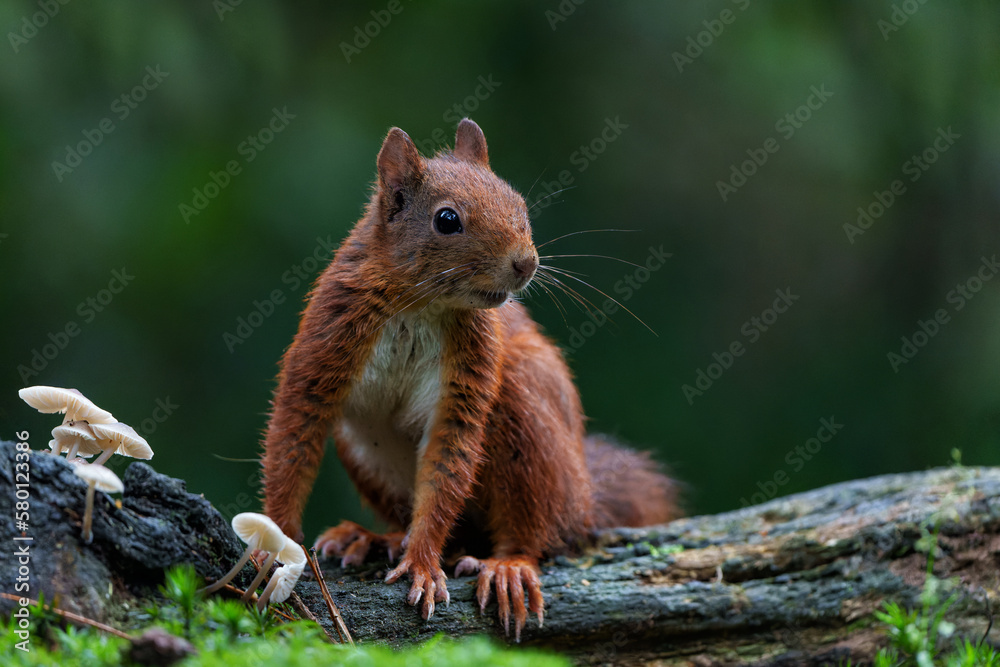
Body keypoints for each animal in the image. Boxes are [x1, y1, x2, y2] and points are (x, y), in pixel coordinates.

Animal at [260, 118, 679, 640]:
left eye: (519, 204)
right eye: (446, 220)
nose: (526, 263)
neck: (420, 304)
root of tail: (585, 496)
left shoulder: (468, 376)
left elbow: (447, 464)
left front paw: (422, 563)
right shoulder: (327, 342)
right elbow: (293, 437)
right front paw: (272, 540)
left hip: (523, 411)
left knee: (538, 531)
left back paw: (508, 566)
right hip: (368, 454)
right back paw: (377, 538)